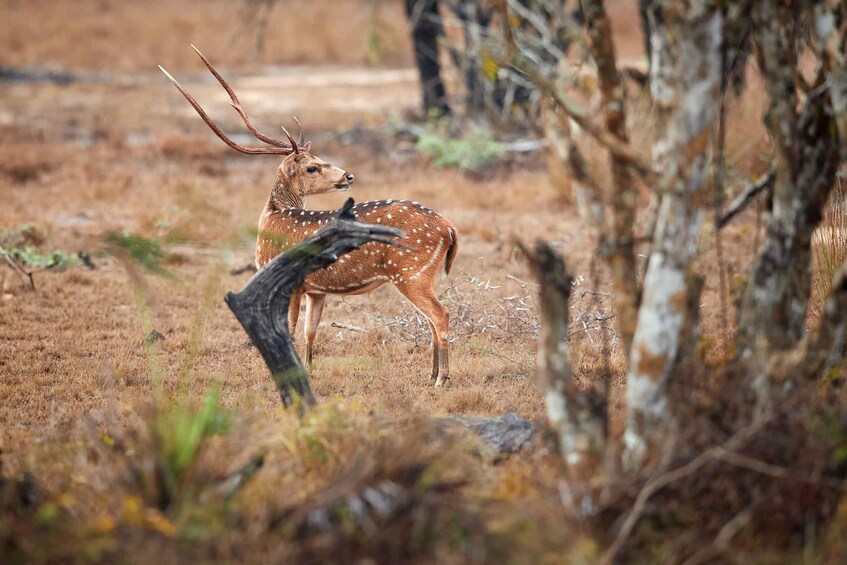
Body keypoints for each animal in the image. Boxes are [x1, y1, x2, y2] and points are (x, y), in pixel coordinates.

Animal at [162, 48, 460, 386]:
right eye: (312, 166)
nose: (348, 175)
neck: (272, 219)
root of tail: (449, 228)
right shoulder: (315, 290)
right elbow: (310, 332)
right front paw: (310, 370)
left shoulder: (292, 283)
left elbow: (290, 331)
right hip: (421, 274)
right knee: (432, 318)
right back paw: (431, 374)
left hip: (411, 271)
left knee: (440, 314)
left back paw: (441, 378)